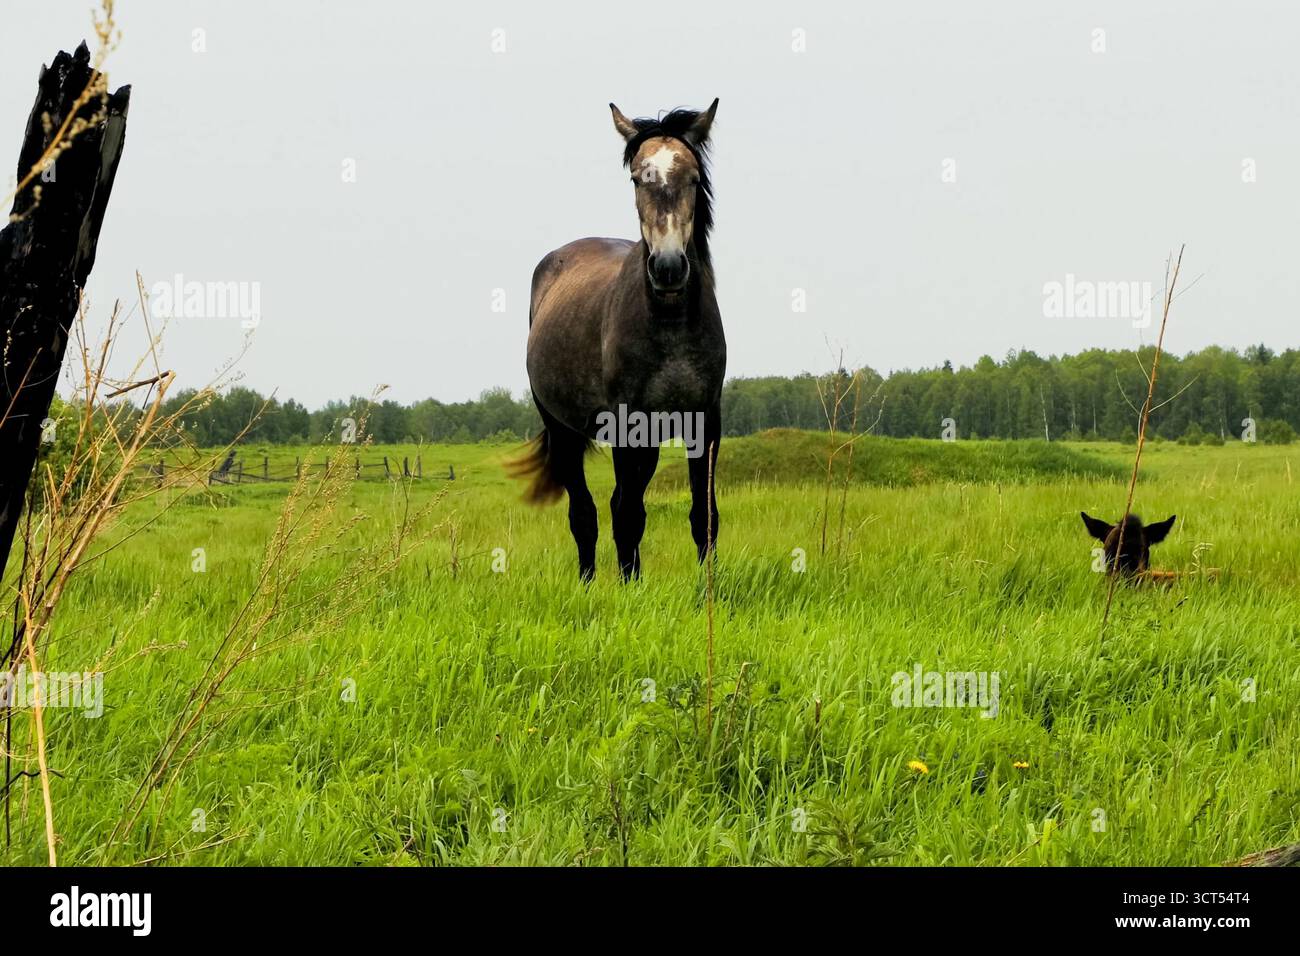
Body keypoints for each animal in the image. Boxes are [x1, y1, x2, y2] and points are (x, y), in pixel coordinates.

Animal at [511, 99, 725, 582]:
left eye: (694, 178)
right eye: (636, 178)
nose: (668, 268)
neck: (670, 327)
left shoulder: (705, 422)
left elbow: (703, 516)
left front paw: (708, 590)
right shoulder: (629, 425)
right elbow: (627, 516)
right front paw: (631, 589)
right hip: (564, 430)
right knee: (585, 513)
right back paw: (588, 582)